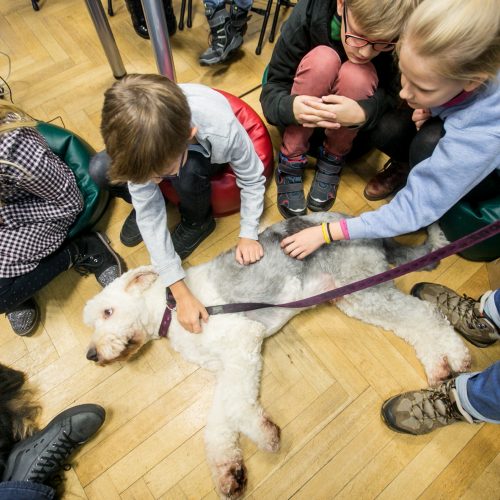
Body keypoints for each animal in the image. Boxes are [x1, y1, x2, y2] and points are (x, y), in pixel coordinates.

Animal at [84, 213, 470, 498]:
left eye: (107, 312)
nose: (91, 354)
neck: (170, 307)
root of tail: (363, 227)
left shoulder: (243, 345)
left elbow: (238, 408)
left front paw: (265, 436)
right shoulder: (226, 367)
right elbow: (219, 423)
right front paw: (229, 474)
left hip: (365, 291)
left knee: (425, 314)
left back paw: (456, 359)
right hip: (355, 296)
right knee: (414, 324)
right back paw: (439, 366)